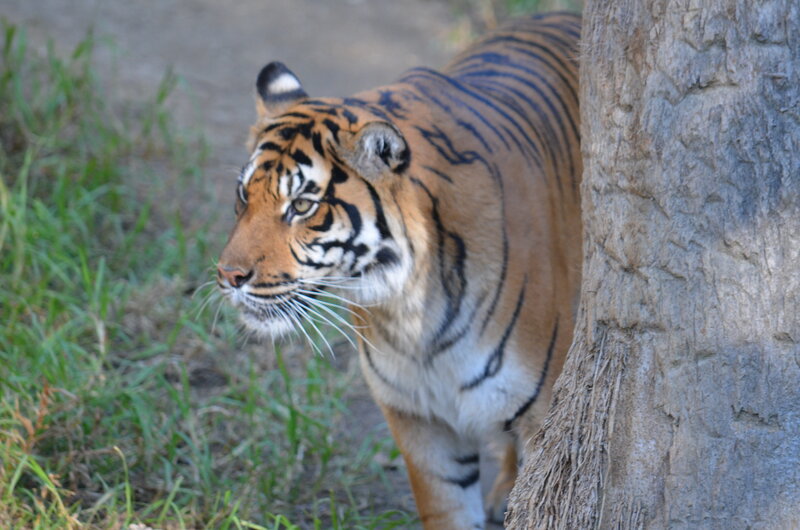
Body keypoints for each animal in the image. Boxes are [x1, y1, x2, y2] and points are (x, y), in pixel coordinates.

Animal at [216, 12, 581, 529]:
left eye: (303, 205)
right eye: (244, 196)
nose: (228, 276)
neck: (411, 313)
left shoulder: (542, 410)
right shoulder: (418, 421)